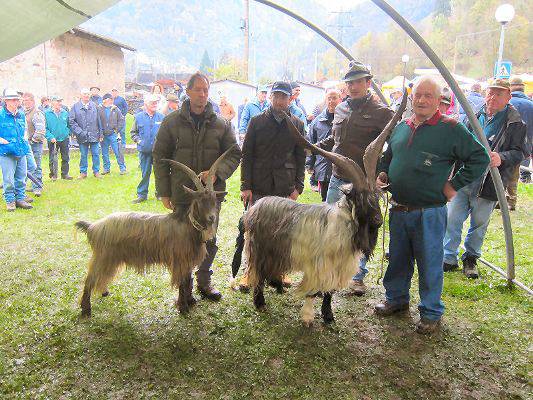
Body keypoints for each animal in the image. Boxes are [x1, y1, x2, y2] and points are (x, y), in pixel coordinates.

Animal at [75, 145, 237, 318]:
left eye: (215, 200)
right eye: (199, 200)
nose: (212, 218)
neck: (187, 226)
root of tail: (93, 227)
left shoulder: (187, 262)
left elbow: (188, 281)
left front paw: (190, 301)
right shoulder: (180, 260)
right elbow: (182, 283)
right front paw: (183, 308)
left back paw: (103, 292)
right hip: (103, 256)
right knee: (89, 279)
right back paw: (86, 309)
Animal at [239, 93, 406, 324]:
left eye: (376, 197)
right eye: (360, 198)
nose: (378, 221)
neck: (344, 226)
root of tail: (255, 207)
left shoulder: (336, 268)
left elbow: (329, 293)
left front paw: (328, 316)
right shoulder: (318, 265)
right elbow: (313, 291)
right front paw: (308, 316)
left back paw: (278, 285)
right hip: (260, 249)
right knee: (257, 274)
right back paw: (260, 302)